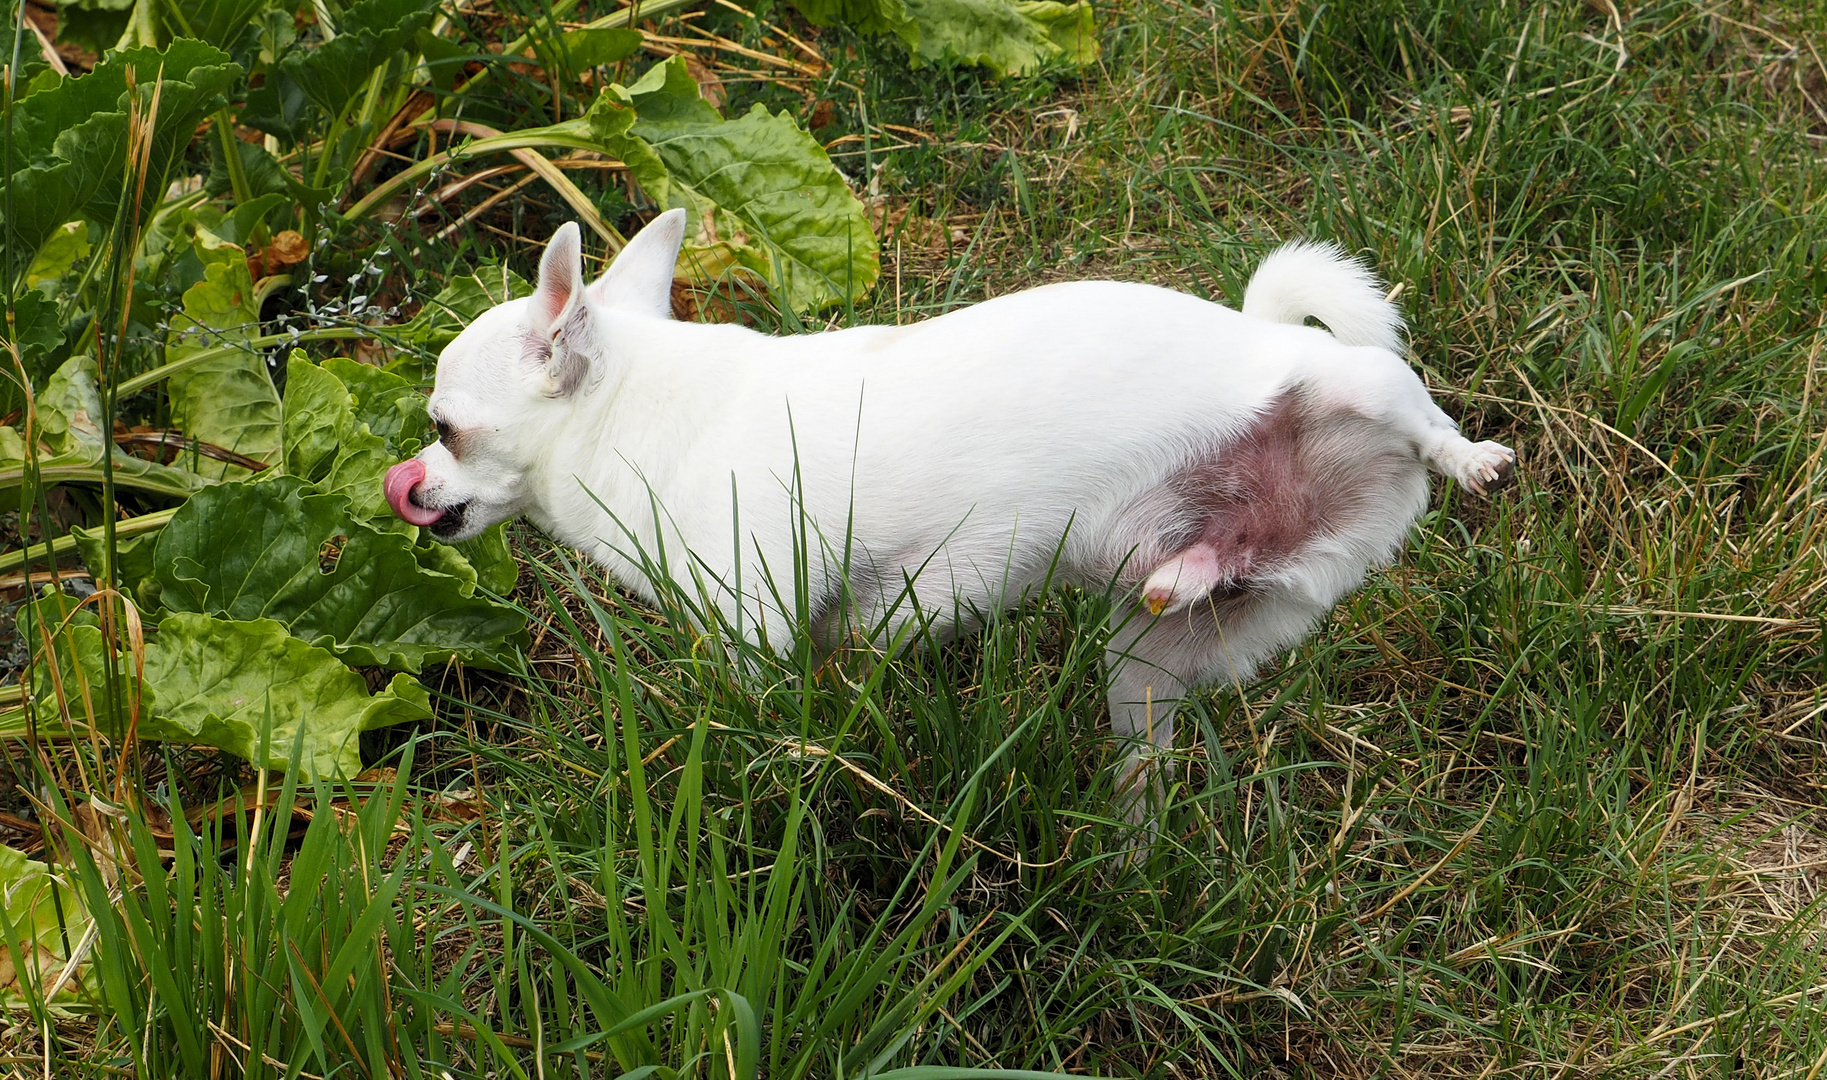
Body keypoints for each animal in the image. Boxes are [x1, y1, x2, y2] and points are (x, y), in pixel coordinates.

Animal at [381, 213, 1512, 811]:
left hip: (1359, 386)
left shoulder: (756, 626)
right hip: (1147, 660)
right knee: (1147, 746)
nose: (406, 484)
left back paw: (1471, 458)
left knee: (1414, 404)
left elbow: (749, 707)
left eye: (445, 430)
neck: (636, 413)